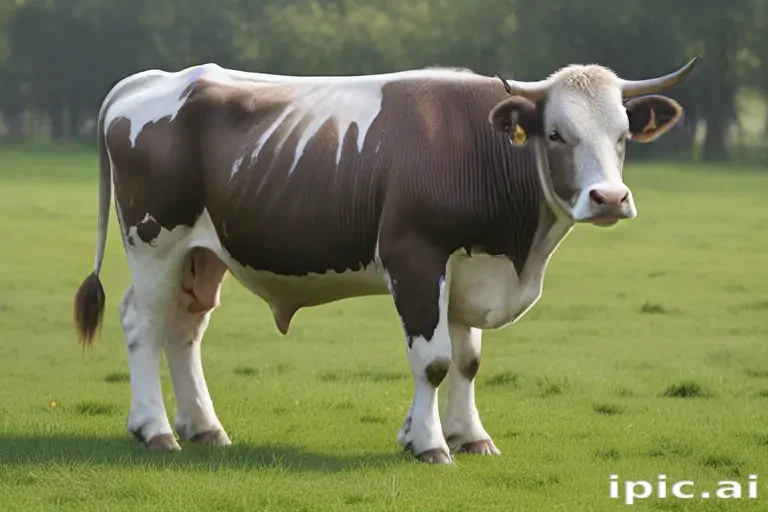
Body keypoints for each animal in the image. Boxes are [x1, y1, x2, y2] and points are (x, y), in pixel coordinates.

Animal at [74, 57, 698, 464]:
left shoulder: (468, 268)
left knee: (184, 330)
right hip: (154, 242)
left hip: (202, 255)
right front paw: (430, 443)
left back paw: (204, 428)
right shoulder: (415, 257)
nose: (609, 199)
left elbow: (468, 360)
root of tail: (156, 79)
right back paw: (155, 430)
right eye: (555, 134)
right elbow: (434, 361)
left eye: (623, 135)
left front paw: (469, 437)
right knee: (143, 323)